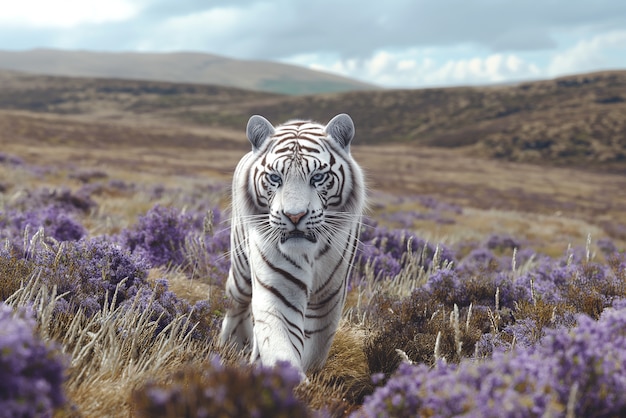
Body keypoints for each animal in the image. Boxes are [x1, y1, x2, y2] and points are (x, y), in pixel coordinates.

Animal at [219, 112, 366, 380]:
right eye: (275, 178)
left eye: (317, 177)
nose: (294, 216)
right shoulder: (278, 290)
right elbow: (282, 349)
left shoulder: (328, 299)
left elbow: (314, 349)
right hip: (241, 270)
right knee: (237, 303)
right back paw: (232, 345)